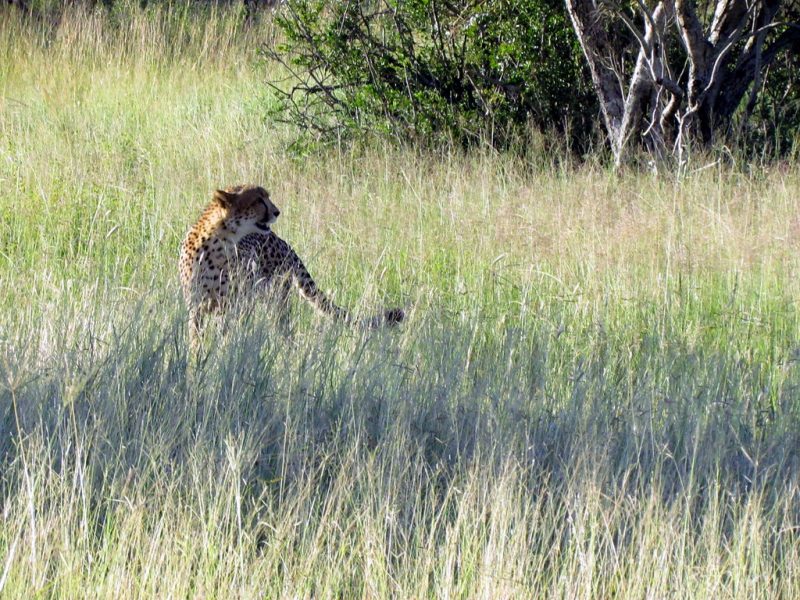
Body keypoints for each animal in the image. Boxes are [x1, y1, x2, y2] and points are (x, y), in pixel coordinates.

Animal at [179, 184, 404, 345]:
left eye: (266, 196)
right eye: (258, 200)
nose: (277, 211)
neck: (221, 241)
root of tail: (283, 242)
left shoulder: (228, 307)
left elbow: (223, 335)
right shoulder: (196, 307)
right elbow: (196, 340)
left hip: (276, 300)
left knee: (284, 331)